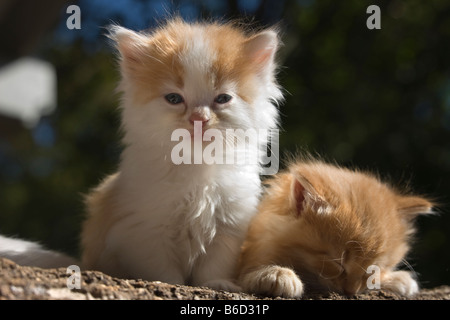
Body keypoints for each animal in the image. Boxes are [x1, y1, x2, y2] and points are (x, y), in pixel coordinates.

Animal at [81, 18, 282, 292]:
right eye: (174, 98)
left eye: (223, 98)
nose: (199, 118)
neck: (197, 163)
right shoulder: (144, 230)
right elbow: (162, 269)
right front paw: (170, 284)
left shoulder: (229, 226)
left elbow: (215, 264)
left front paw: (217, 283)